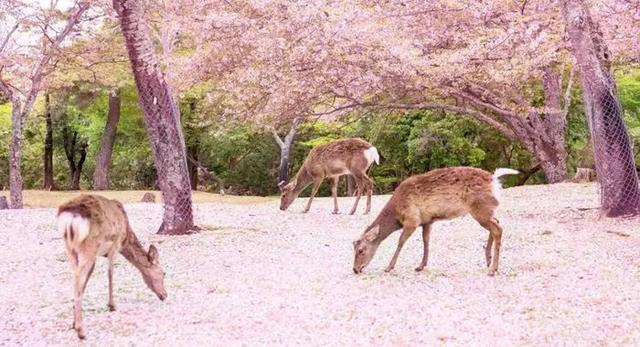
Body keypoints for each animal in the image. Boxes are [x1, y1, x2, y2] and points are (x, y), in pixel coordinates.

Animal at [57, 194, 168, 342]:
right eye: (163, 273)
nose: (165, 295)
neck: (127, 236)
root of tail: (70, 216)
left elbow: (88, 280)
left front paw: (73, 322)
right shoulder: (115, 245)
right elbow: (110, 273)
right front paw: (111, 306)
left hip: (70, 249)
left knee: (75, 277)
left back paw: (77, 325)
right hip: (89, 246)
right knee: (78, 279)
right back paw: (81, 331)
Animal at [352, 168, 516, 278]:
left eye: (360, 250)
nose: (355, 269)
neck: (397, 214)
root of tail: (495, 180)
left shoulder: (412, 219)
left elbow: (400, 241)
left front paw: (389, 267)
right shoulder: (427, 221)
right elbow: (426, 240)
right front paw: (420, 266)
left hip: (479, 208)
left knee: (497, 229)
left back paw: (492, 269)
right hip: (486, 210)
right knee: (496, 224)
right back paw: (488, 260)